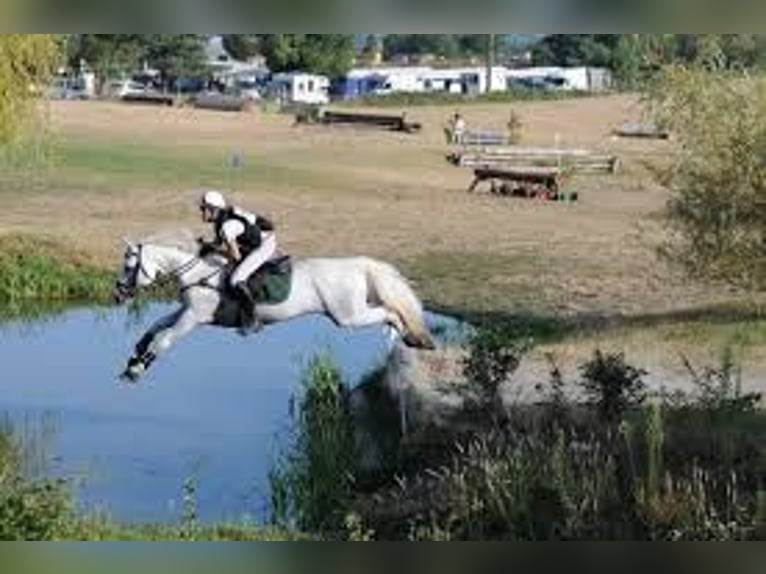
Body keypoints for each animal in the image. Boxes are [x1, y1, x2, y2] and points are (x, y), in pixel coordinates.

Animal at [114, 236, 438, 384]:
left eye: (129, 267)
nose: (118, 293)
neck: (199, 275)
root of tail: (360, 265)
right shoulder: (185, 312)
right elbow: (155, 326)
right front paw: (135, 356)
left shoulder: (195, 318)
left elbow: (164, 339)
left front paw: (138, 368)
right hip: (351, 312)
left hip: (348, 316)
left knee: (391, 313)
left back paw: (410, 337)